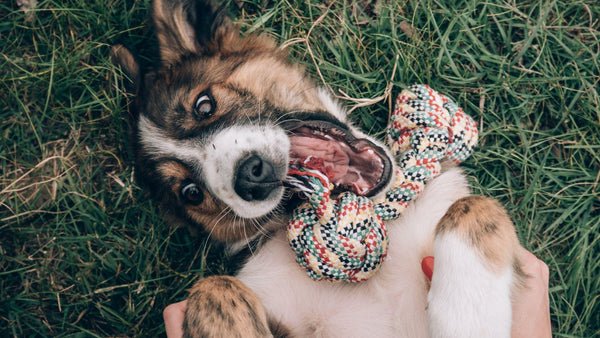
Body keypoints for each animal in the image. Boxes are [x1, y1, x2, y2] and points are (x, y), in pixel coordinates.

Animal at [112, 0, 524, 336]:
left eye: (204, 105)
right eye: (191, 193)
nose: (251, 176)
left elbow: (474, 206)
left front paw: (469, 318)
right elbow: (212, 287)